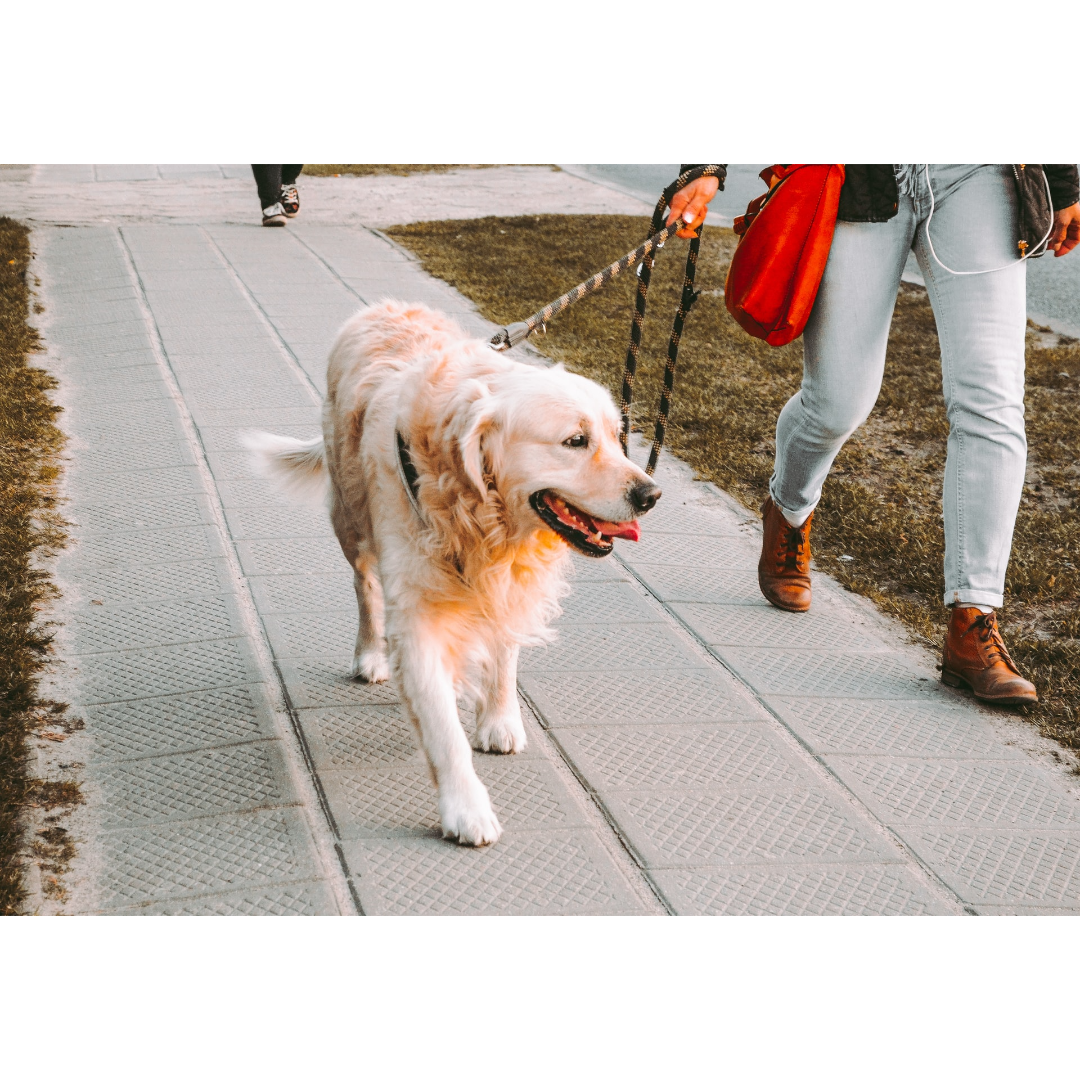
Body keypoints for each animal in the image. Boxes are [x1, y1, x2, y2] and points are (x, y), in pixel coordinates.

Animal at [248, 300, 660, 846]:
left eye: (617, 438)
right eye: (575, 441)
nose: (651, 494)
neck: (480, 515)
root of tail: (382, 305)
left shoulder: (508, 583)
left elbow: (504, 652)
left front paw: (499, 718)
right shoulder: (418, 615)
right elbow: (443, 729)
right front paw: (466, 808)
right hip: (351, 518)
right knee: (365, 585)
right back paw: (370, 653)